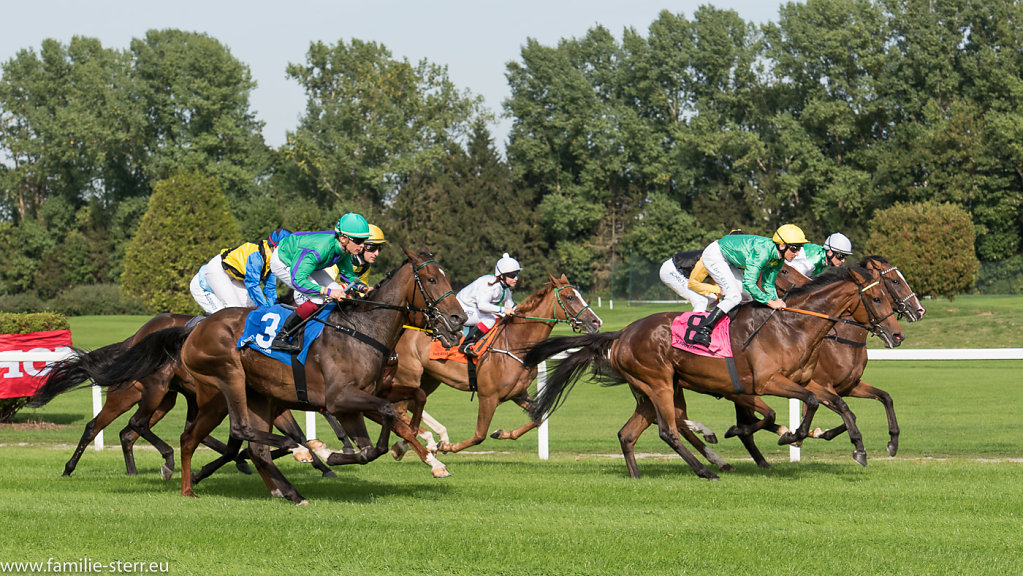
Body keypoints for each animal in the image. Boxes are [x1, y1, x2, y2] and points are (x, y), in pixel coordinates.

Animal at [388, 274, 597, 478]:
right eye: (569, 297)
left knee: (412, 405)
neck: (515, 343)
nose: (596, 322)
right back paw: (429, 441)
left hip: (430, 378)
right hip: (410, 375)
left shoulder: (518, 394)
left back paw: (412, 444)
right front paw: (448, 446)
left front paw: (500, 432)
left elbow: (537, 419)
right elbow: (479, 435)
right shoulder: (488, 396)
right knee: (400, 409)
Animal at [527, 268, 904, 482]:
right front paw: (791, 435)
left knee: (629, 434)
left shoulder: (807, 380)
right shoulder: (768, 382)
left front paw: (864, 445)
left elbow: (842, 404)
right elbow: (803, 405)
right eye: (877, 297)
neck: (792, 326)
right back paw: (706, 468)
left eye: (888, 294)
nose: (897, 334)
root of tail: (621, 334)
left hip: (650, 391)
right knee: (669, 429)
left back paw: (639, 476)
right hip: (659, 383)